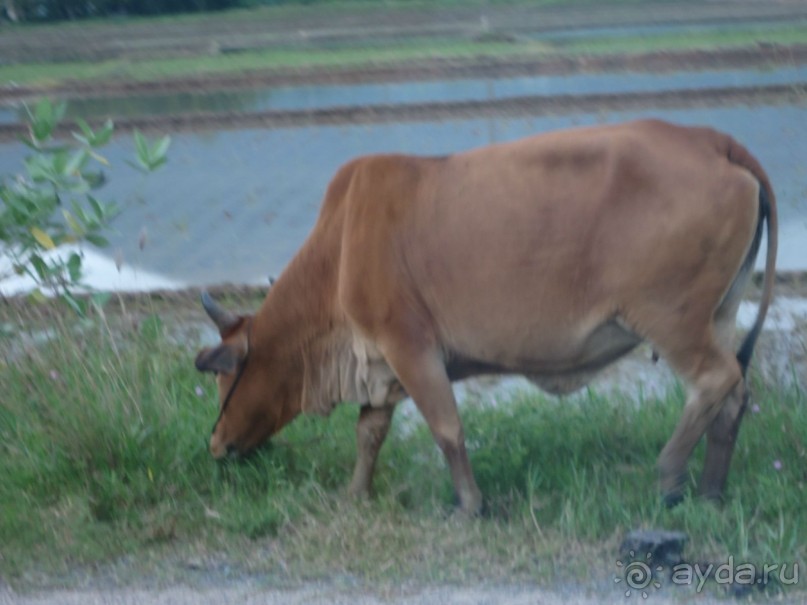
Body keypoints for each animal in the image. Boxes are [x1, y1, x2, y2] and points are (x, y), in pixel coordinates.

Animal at [194, 119, 776, 516]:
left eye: (225, 377)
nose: (215, 445)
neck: (338, 252)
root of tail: (709, 139)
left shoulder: (409, 345)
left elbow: (447, 428)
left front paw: (470, 504)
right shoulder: (379, 360)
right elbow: (369, 433)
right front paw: (355, 493)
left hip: (673, 320)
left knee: (714, 380)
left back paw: (669, 477)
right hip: (719, 314)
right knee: (733, 394)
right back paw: (711, 491)